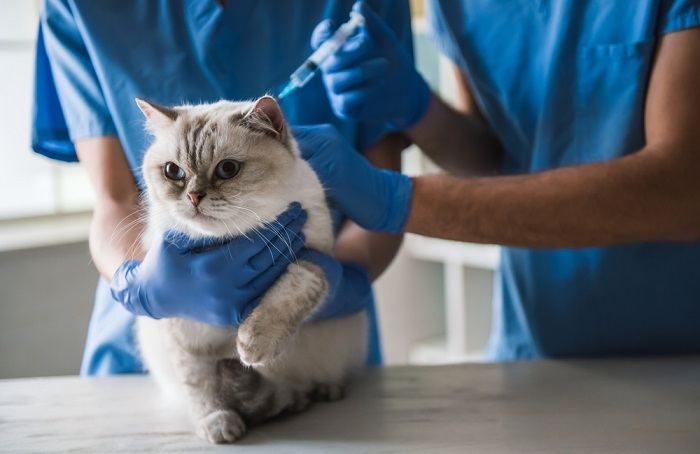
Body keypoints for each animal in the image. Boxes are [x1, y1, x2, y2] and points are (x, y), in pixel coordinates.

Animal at [133, 96, 370, 444]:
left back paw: (323, 389)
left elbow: (290, 291)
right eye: (173, 171)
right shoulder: (184, 327)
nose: (193, 196)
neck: (234, 242)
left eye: (227, 169)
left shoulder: (315, 260)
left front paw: (252, 345)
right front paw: (216, 424)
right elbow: (200, 385)